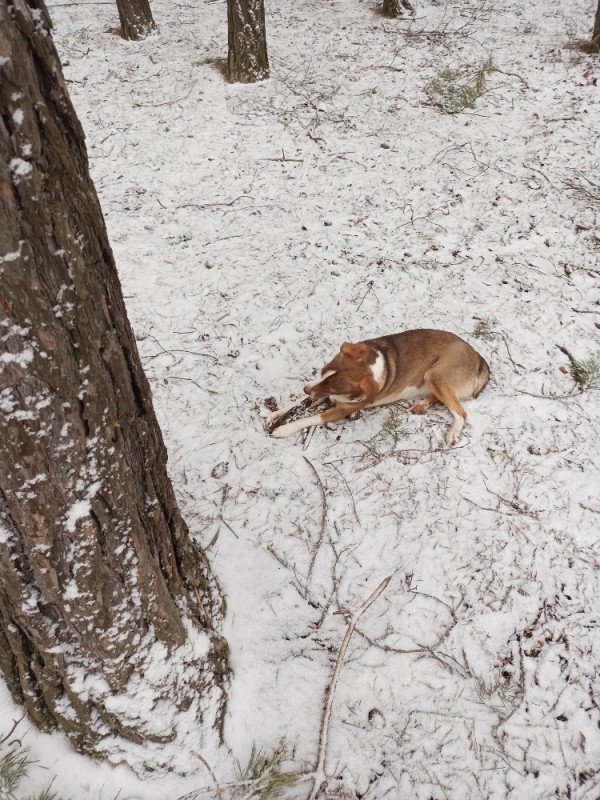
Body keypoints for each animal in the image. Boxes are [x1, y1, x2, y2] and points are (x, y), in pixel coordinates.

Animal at [270, 330, 490, 446]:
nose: (305, 389)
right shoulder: (318, 389)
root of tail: (479, 358)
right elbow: (299, 403)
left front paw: (284, 429)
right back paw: (422, 405)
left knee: (461, 412)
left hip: (436, 376)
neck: (374, 366)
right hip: (433, 379)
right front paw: (276, 413)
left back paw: (453, 431)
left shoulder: (341, 409)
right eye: (322, 371)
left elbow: (310, 418)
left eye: (335, 389)